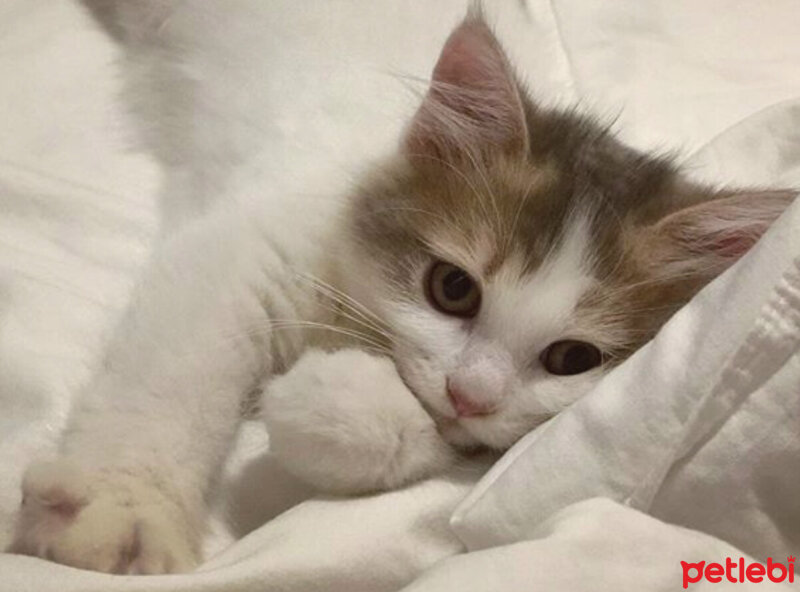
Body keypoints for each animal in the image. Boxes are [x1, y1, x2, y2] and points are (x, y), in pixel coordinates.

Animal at [6, 0, 792, 572]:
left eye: (572, 359)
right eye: (453, 287)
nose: (469, 394)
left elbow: (429, 446)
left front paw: (319, 403)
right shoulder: (243, 247)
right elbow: (170, 381)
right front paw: (119, 510)